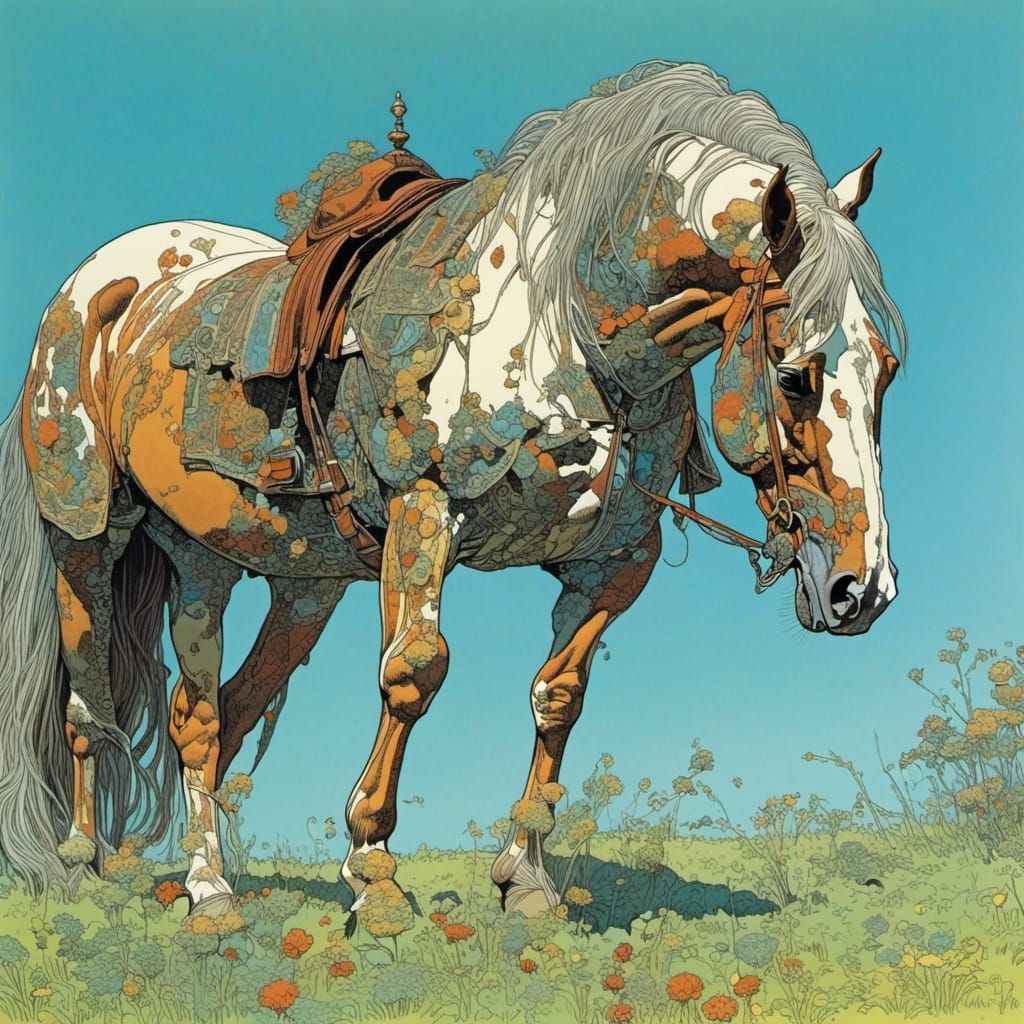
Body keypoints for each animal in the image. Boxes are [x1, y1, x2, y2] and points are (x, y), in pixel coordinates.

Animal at [0, 61, 904, 918]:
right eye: (794, 376)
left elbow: (560, 695)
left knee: (206, 716)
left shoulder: (616, 559)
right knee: (88, 702)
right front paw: (372, 872)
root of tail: (97, 290)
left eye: (886, 370)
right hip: (86, 543)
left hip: (252, 571)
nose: (861, 590)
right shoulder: (425, 515)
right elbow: (413, 672)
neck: (563, 325)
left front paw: (525, 877)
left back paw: (209, 886)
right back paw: (88, 866)